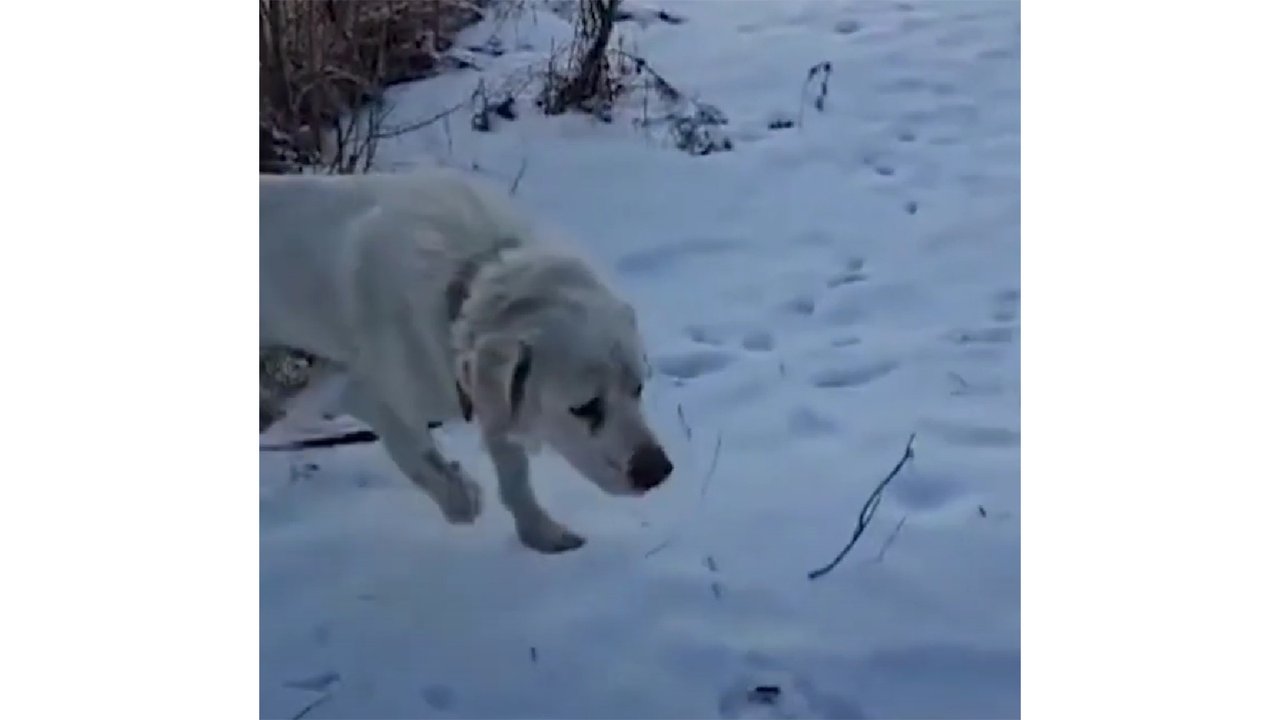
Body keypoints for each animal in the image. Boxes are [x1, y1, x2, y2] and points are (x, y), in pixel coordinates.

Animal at [262, 167, 680, 548]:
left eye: (638, 389)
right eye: (584, 407)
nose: (658, 472)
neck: (469, 277)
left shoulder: (494, 400)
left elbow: (514, 476)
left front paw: (540, 532)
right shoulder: (364, 393)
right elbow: (417, 457)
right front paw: (460, 497)